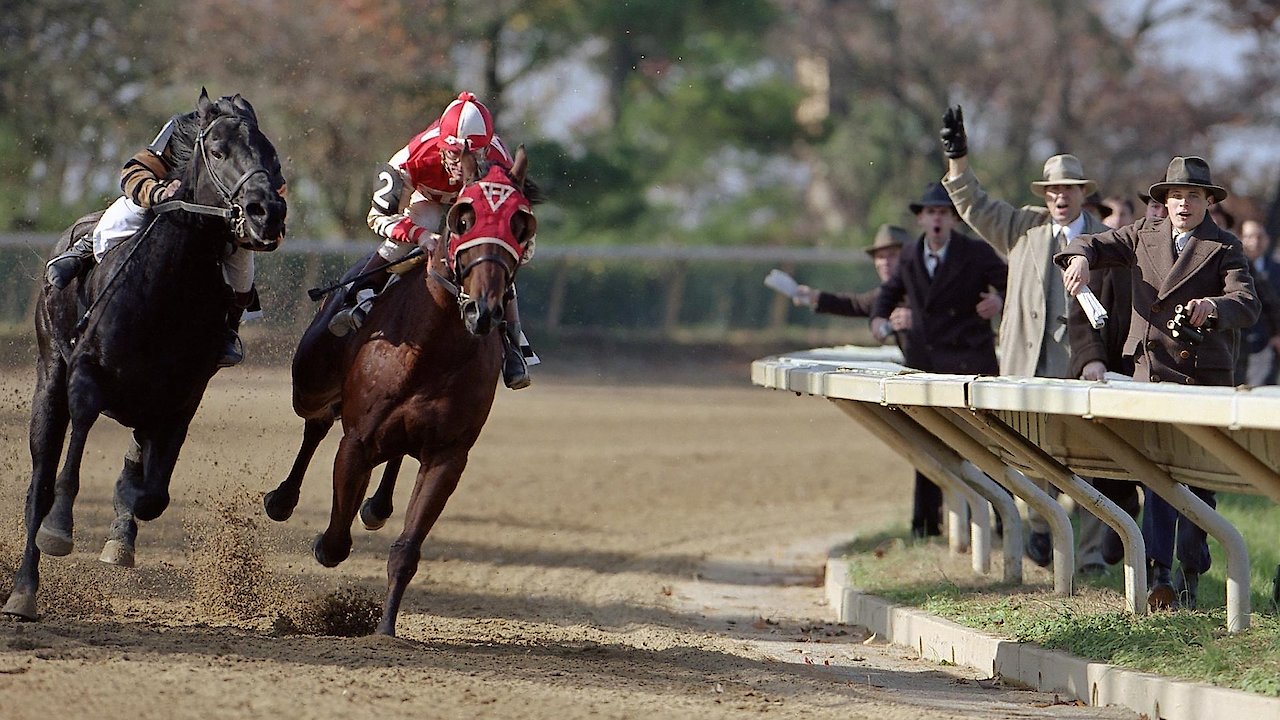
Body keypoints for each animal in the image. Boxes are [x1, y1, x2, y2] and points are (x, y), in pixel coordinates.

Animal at [2, 88, 286, 617]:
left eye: (272, 156)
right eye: (218, 152)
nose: (267, 212)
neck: (165, 294)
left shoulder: (181, 399)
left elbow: (150, 494)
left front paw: (121, 531)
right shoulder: (85, 374)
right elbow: (70, 462)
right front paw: (59, 529)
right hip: (48, 375)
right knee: (40, 483)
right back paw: (23, 591)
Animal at [264, 146, 535, 632]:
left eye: (520, 225)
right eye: (463, 218)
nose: (483, 311)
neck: (433, 348)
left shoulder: (448, 456)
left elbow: (407, 550)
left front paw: (386, 629)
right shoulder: (357, 441)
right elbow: (335, 543)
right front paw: (322, 543)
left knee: (393, 456)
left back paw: (377, 506)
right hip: (310, 382)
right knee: (316, 424)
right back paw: (282, 499)